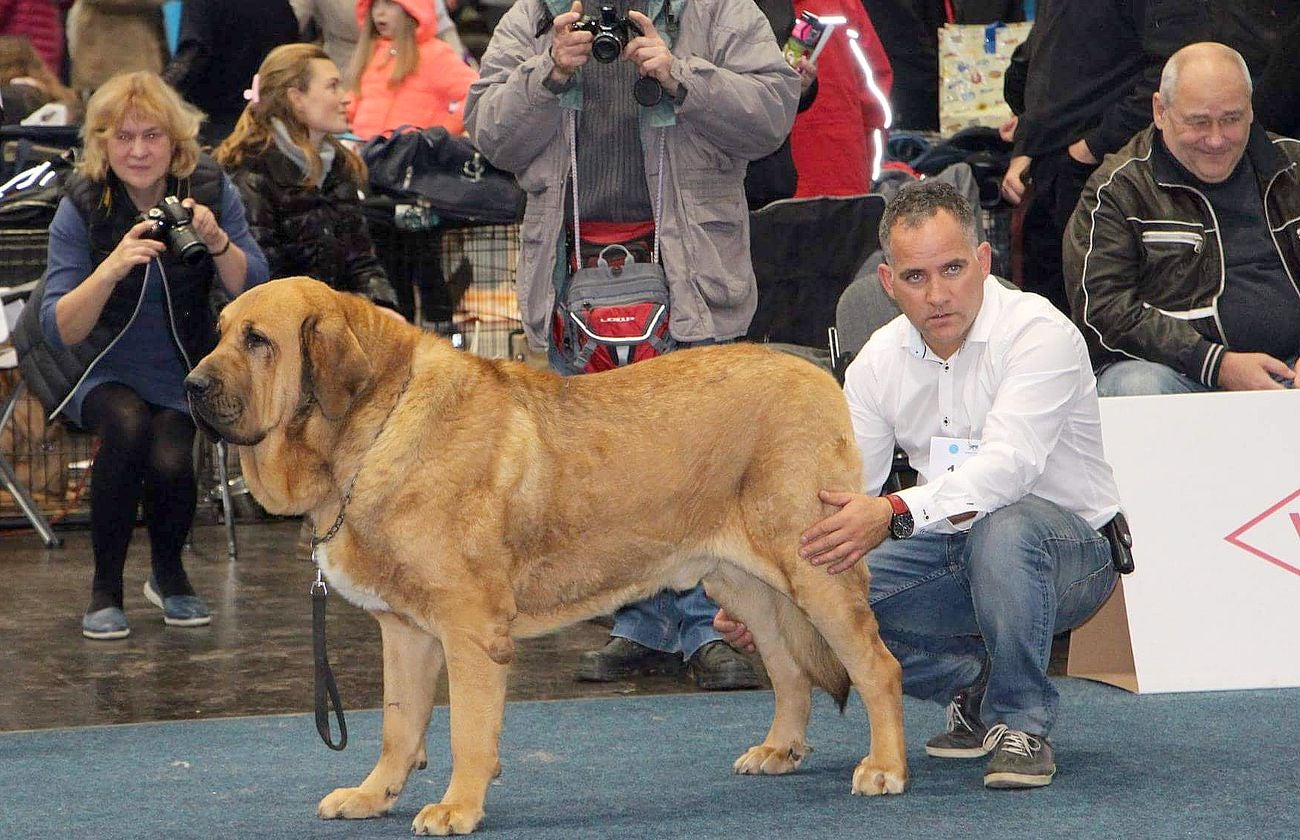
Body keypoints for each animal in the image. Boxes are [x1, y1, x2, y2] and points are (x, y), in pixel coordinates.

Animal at [188, 278, 909, 837]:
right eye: (218, 332)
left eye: (258, 340)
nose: (192, 385)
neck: (372, 429)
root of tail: (817, 373)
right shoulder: (404, 633)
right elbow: (400, 725)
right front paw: (373, 795)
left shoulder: (469, 631)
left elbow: (467, 728)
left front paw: (457, 807)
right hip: (741, 583)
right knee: (788, 669)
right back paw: (779, 750)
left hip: (815, 566)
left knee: (877, 666)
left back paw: (885, 767)